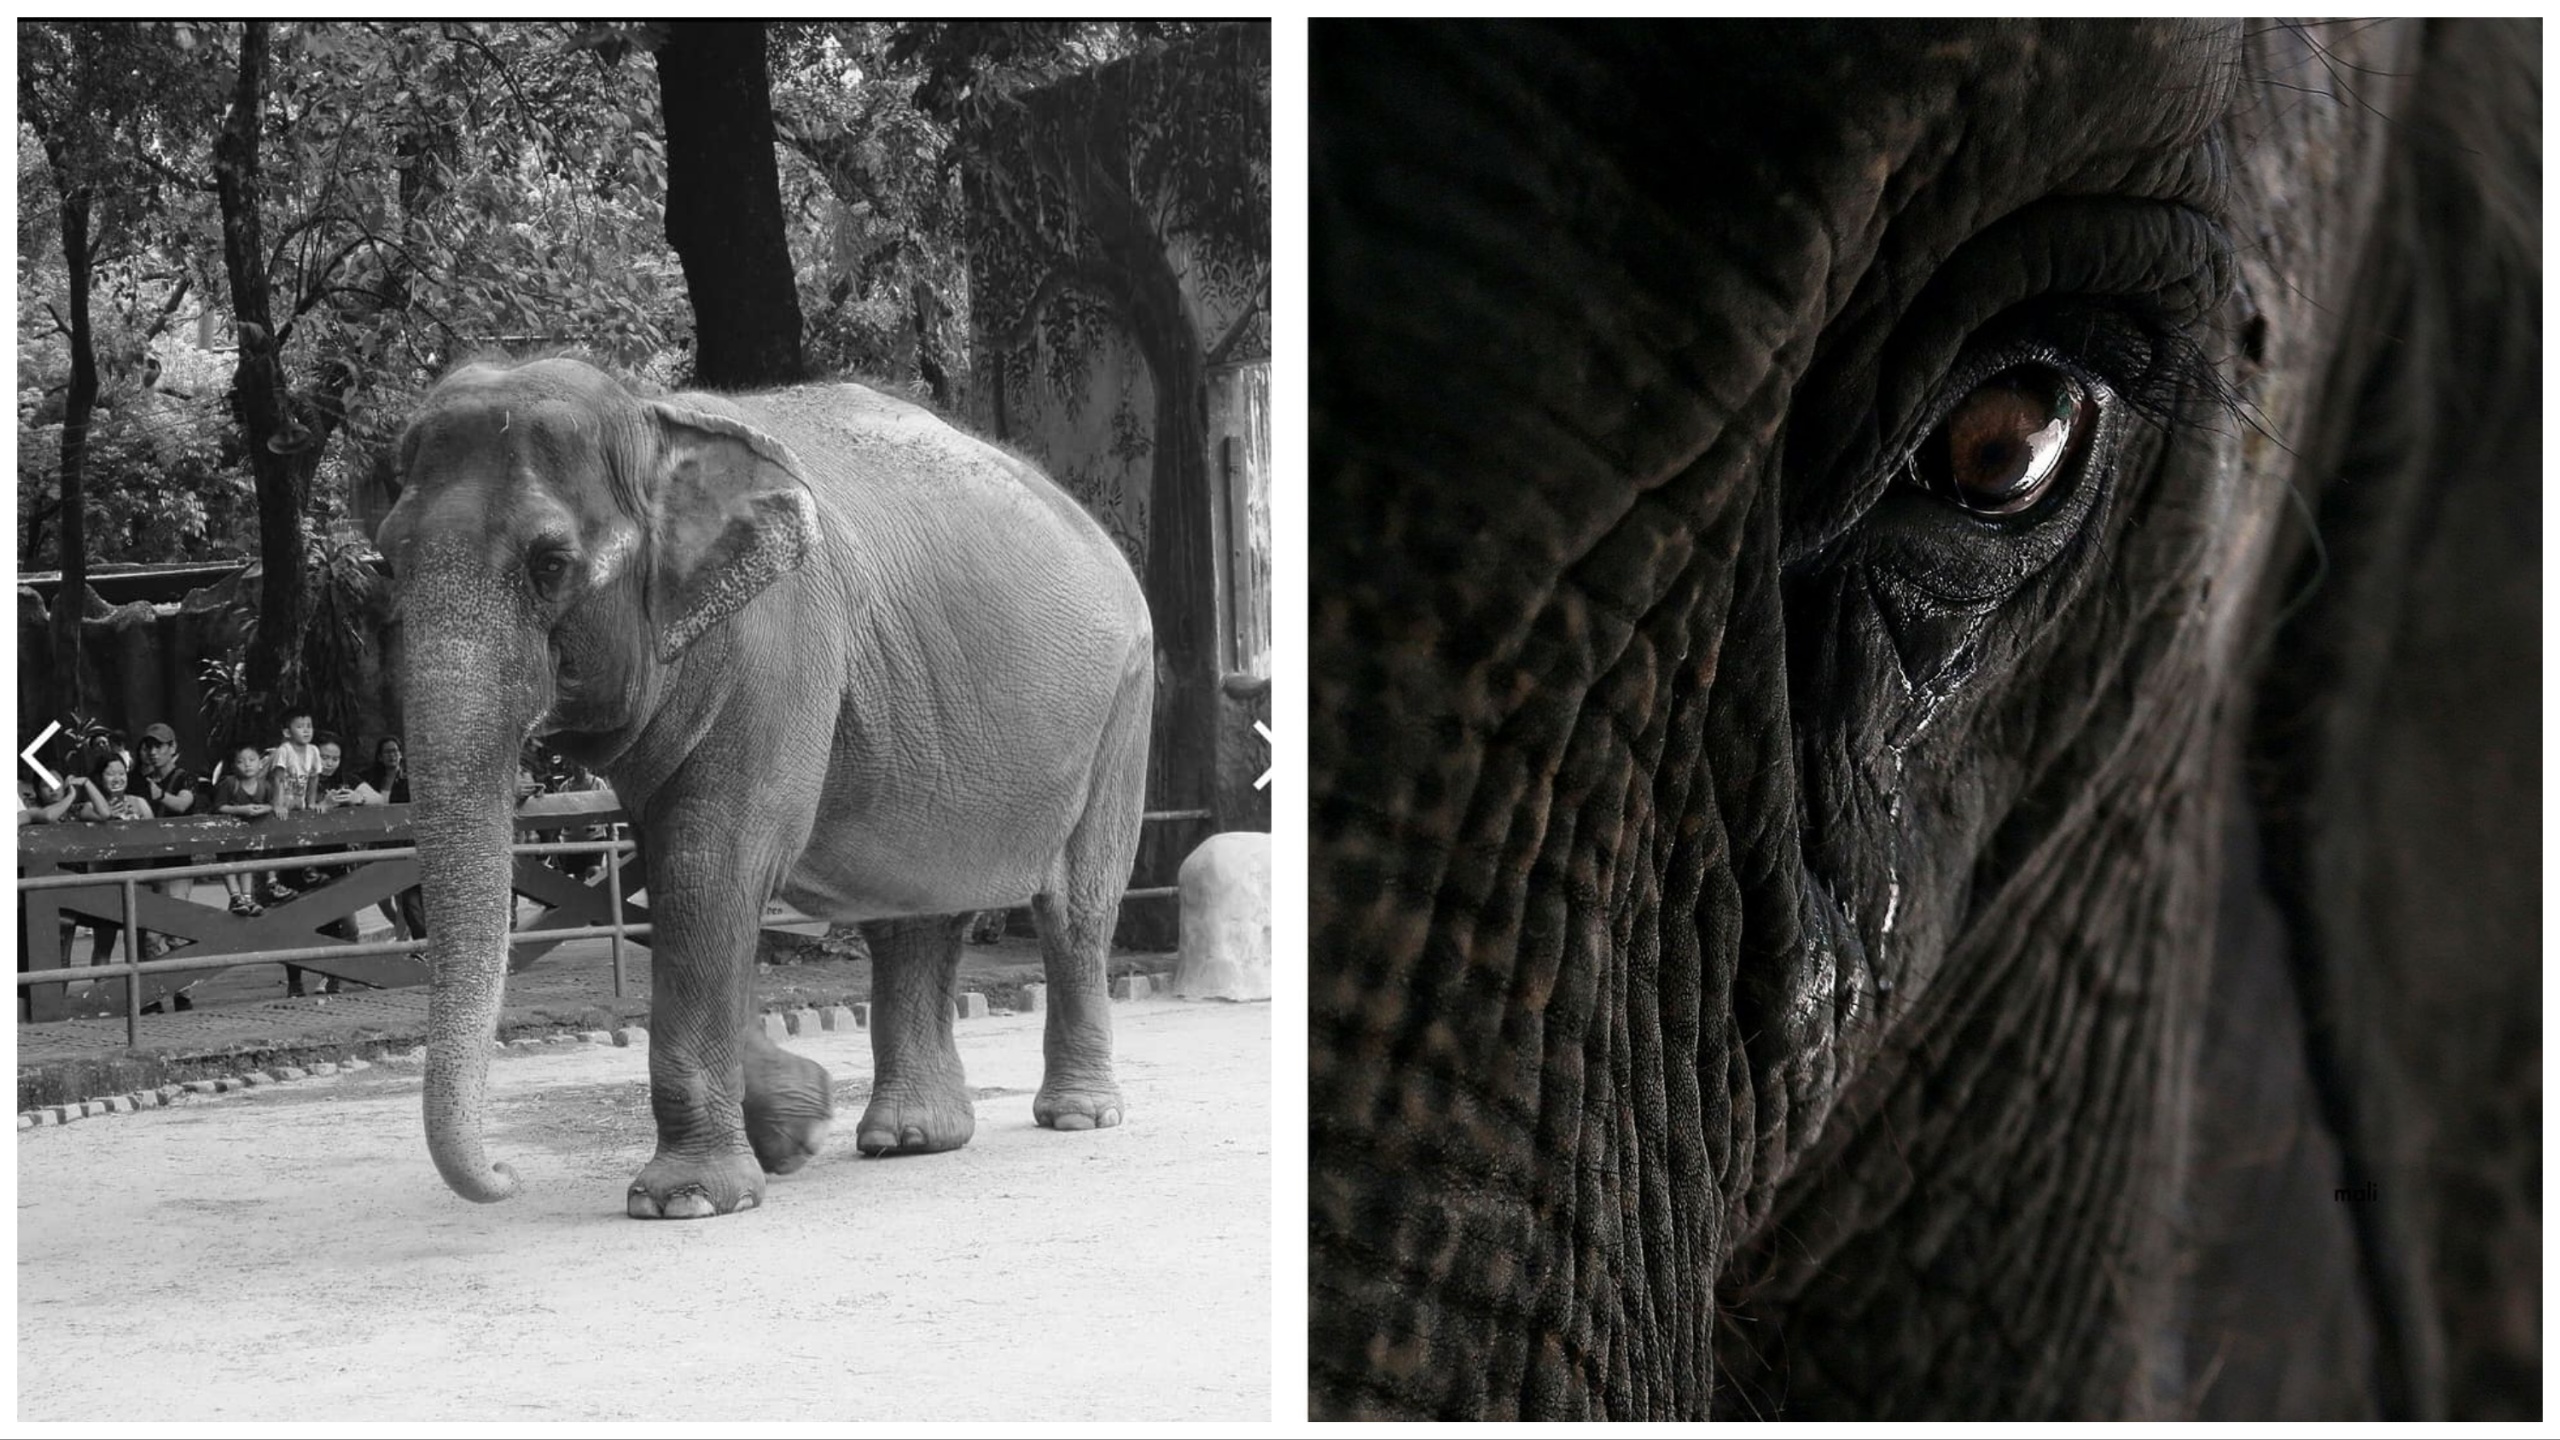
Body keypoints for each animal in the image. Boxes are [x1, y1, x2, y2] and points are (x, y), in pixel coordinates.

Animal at [378, 356, 1152, 1220]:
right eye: (387, 562)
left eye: (550, 564)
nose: (508, 1175)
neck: (653, 421)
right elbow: (682, 873)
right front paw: (796, 1128)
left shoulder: (781, 644)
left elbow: (711, 864)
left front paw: (686, 1201)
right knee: (915, 910)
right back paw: (910, 1138)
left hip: (1124, 704)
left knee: (1077, 905)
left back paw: (1077, 1117)